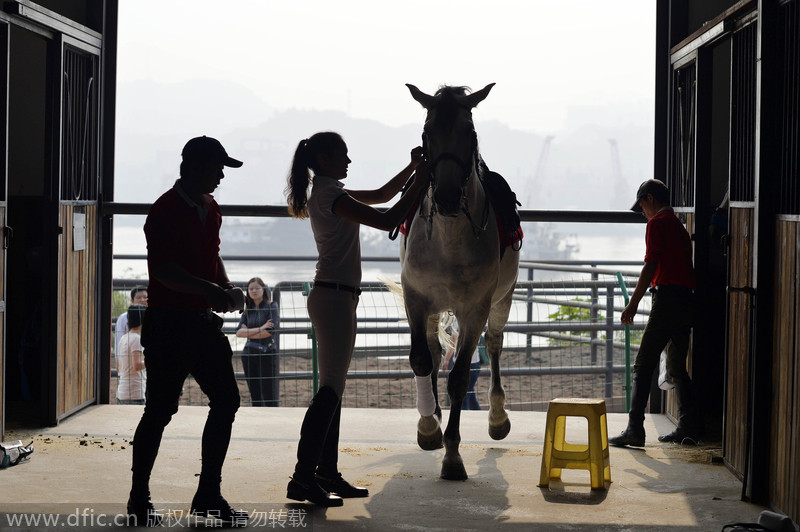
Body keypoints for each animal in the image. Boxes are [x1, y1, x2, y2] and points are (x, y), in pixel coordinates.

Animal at [398, 84, 520, 482]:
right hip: (435, 307)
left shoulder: (474, 309)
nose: (448, 195)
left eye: (470, 132)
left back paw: (497, 417)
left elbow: (460, 377)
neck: (449, 238)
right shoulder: (416, 299)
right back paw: (433, 414)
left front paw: (453, 456)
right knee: (435, 353)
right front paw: (428, 428)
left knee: (494, 344)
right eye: (427, 132)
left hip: (502, 299)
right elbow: (422, 359)